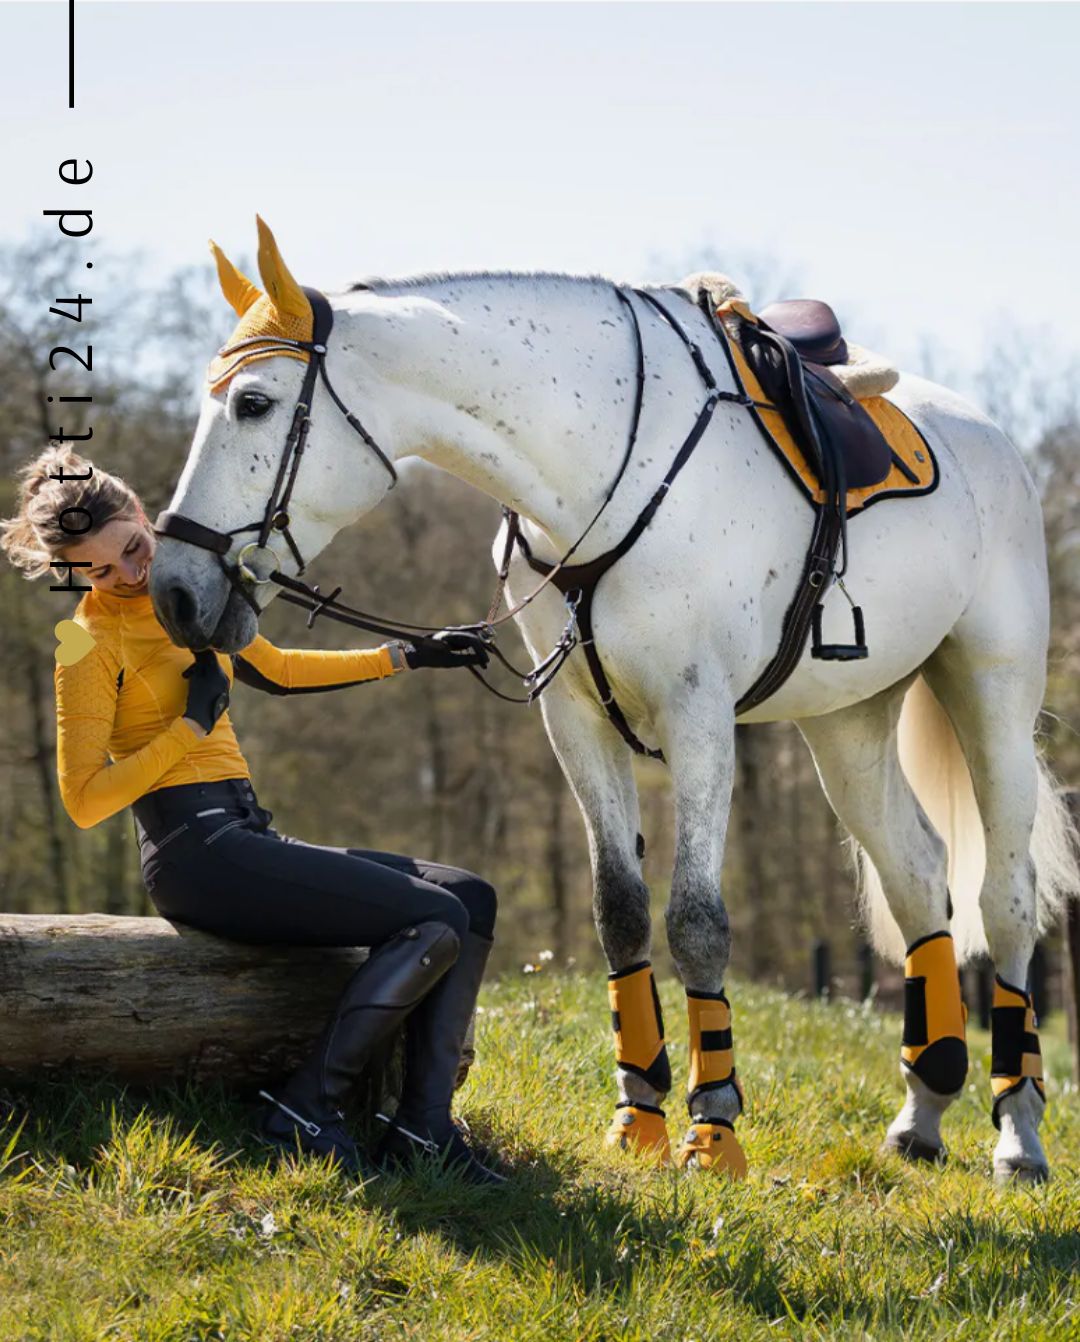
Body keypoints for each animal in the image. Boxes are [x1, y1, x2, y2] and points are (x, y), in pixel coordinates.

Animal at [149, 218, 1079, 1183]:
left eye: (253, 404)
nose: (173, 589)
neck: (600, 471)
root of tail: (990, 438)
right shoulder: (576, 719)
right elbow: (620, 912)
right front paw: (641, 1117)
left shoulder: (699, 714)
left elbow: (696, 921)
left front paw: (715, 1128)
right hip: (847, 721)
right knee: (917, 876)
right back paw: (923, 1111)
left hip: (993, 694)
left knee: (1007, 900)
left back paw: (1018, 1134)